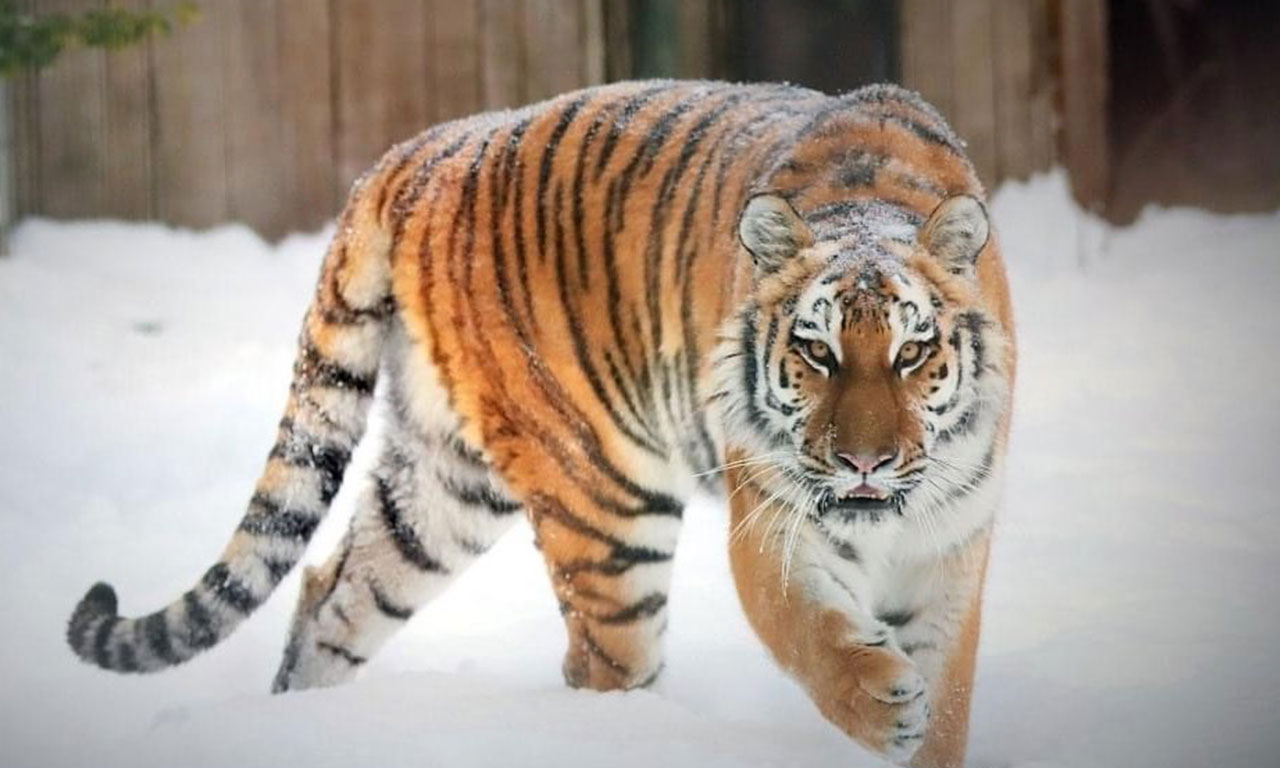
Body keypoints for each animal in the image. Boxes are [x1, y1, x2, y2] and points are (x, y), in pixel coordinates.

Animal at [64, 79, 1013, 768]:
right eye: (816, 352)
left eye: (912, 353)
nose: (864, 464)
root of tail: (418, 151)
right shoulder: (772, 520)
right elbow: (809, 631)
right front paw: (881, 704)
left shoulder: (954, 545)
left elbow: (951, 694)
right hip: (604, 498)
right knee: (602, 663)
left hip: (441, 488)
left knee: (334, 592)